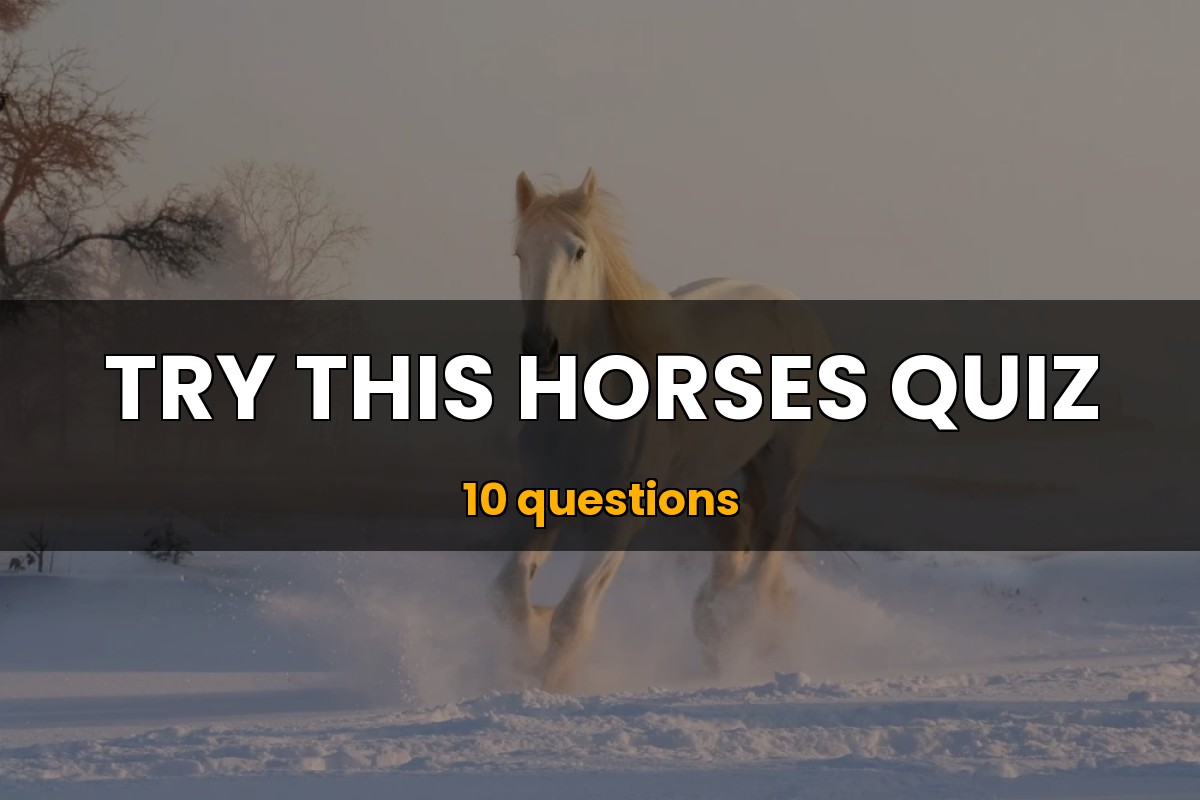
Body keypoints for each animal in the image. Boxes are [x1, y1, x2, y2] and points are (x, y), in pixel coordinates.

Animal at [491, 168, 833, 691]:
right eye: (520, 252)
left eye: (579, 251)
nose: (540, 347)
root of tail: (790, 304)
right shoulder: (545, 501)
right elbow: (510, 592)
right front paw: (530, 647)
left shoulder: (618, 523)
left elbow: (572, 617)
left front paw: (550, 679)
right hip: (713, 478)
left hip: (785, 468)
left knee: (766, 553)